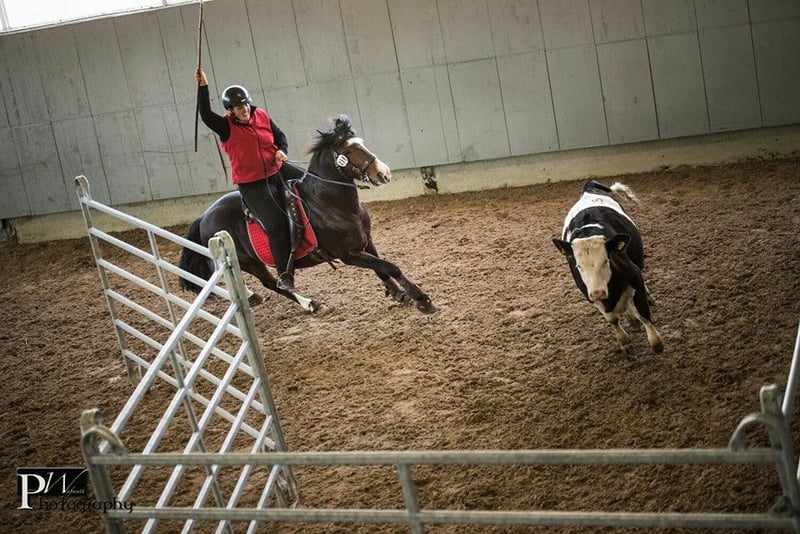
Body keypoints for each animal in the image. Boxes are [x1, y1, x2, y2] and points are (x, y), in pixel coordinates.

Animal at [178, 114, 436, 314]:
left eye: (361, 143)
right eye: (349, 150)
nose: (384, 173)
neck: (330, 204)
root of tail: (204, 216)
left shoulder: (366, 242)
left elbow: (382, 267)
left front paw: (399, 293)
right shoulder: (348, 254)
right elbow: (391, 267)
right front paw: (421, 299)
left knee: (272, 284)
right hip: (247, 262)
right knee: (274, 283)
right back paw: (306, 303)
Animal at [553, 180, 664, 354]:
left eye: (606, 260)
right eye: (578, 265)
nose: (598, 292)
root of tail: (587, 191)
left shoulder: (634, 275)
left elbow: (643, 311)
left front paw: (656, 342)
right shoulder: (589, 293)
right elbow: (612, 319)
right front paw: (624, 341)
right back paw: (630, 317)